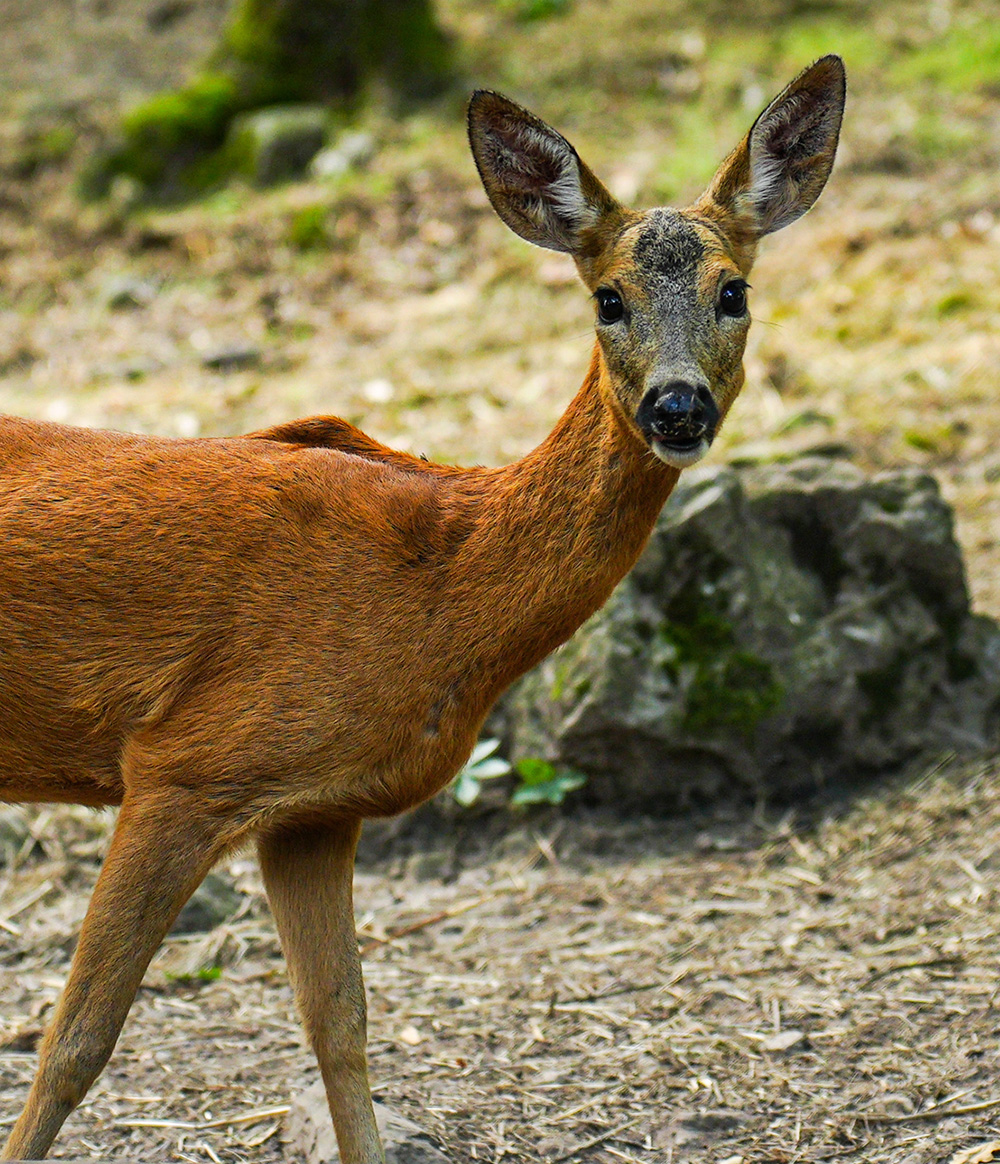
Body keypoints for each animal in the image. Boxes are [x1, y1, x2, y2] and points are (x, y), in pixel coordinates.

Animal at [0, 56, 842, 1164]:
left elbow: (341, 1026)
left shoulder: (311, 808)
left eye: (733, 291)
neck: (440, 590)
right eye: (607, 298)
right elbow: (76, 1041)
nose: (676, 407)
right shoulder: (183, 764)